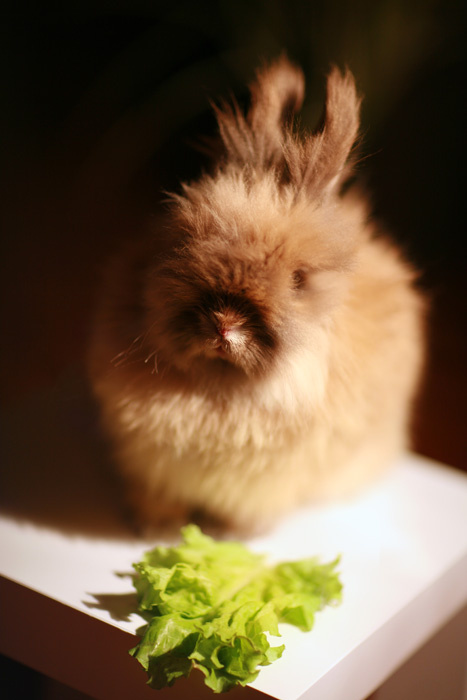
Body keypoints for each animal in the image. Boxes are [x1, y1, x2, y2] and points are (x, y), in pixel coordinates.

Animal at [88, 56, 425, 533]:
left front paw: (231, 533)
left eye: (299, 279)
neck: (225, 384)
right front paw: (159, 527)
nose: (223, 324)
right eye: (183, 244)